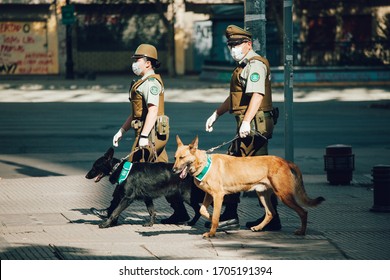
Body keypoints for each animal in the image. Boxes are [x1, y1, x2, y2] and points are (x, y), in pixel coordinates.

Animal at [172, 136, 324, 238]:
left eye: (182, 157)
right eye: (175, 158)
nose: (173, 170)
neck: (204, 164)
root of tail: (285, 161)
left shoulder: (218, 196)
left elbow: (214, 217)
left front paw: (212, 233)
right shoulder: (209, 195)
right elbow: (204, 211)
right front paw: (214, 220)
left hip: (284, 196)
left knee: (303, 212)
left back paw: (302, 232)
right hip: (262, 194)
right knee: (271, 213)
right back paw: (258, 227)